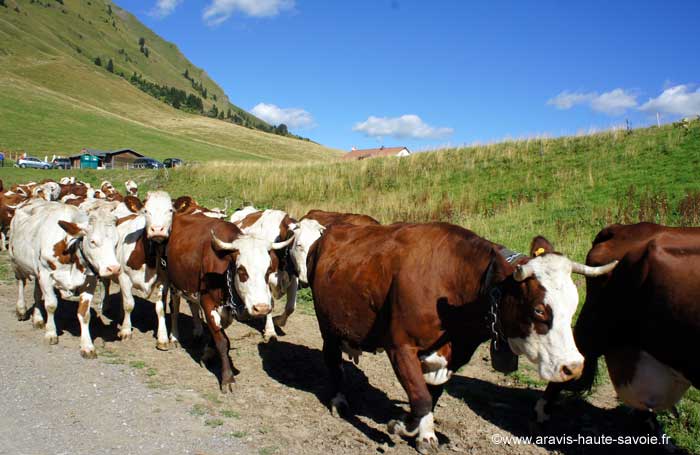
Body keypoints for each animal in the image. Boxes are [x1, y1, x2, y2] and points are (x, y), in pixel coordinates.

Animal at [9, 201, 121, 358]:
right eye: (93, 241)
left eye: (116, 243)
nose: (114, 268)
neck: (70, 249)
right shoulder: (46, 274)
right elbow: (51, 305)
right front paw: (51, 334)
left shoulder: (90, 282)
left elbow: (84, 314)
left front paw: (87, 346)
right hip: (16, 263)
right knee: (21, 283)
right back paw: (21, 310)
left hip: (36, 272)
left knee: (37, 293)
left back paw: (37, 319)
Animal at [102, 192, 174, 349]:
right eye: (146, 210)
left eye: (171, 210)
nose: (157, 229)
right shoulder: (124, 276)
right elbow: (129, 304)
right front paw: (126, 331)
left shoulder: (163, 282)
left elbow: (160, 309)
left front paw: (163, 338)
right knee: (107, 285)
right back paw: (105, 306)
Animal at [165, 213, 293, 391]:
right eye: (242, 270)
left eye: (268, 271)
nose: (261, 308)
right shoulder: (207, 302)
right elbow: (222, 342)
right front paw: (227, 378)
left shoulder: (225, 310)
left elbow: (218, 334)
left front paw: (208, 352)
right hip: (172, 282)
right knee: (175, 308)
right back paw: (174, 337)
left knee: (192, 305)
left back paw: (197, 331)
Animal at [230, 207, 298, 341]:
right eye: (298, 244)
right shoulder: (267, 279)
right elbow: (270, 303)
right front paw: (270, 331)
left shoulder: (293, 278)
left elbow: (290, 307)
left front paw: (278, 321)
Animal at [307, 222, 617, 453]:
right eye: (539, 309)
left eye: (574, 304)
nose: (573, 367)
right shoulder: (400, 346)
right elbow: (420, 398)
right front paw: (403, 426)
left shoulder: (452, 355)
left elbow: (430, 396)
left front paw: (424, 434)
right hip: (327, 323)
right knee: (333, 361)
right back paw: (338, 401)